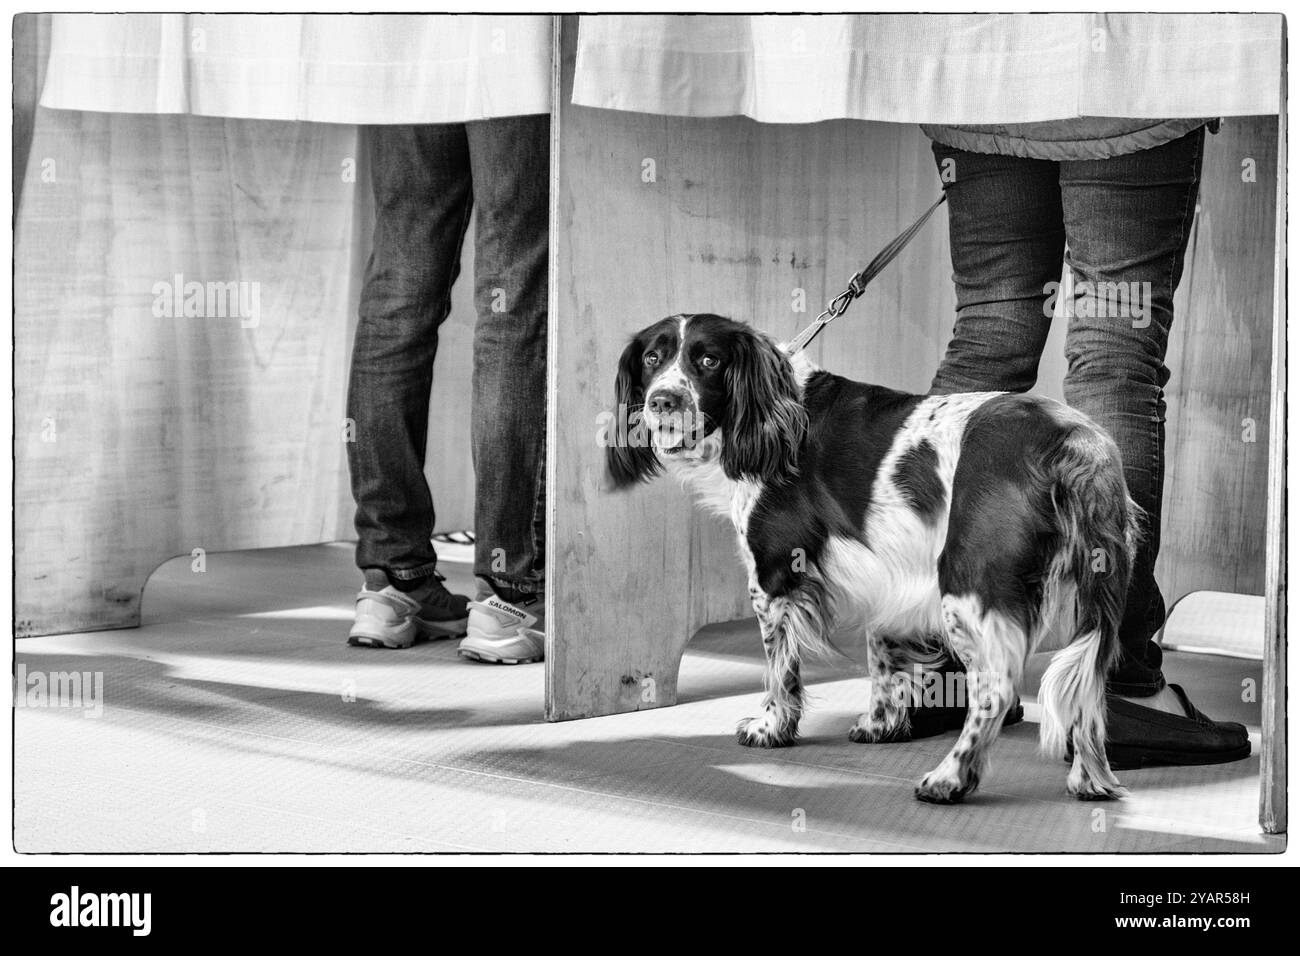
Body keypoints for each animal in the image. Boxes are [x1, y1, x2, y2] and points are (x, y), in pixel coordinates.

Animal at [603, 312, 1133, 801]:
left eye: (709, 360)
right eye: (653, 358)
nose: (662, 402)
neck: (774, 410)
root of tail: (1074, 439)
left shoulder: (775, 576)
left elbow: (780, 669)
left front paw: (771, 729)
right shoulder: (889, 575)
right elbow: (882, 653)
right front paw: (881, 724)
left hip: (969, 584)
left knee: (996, 691)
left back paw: (950, 778)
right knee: (1090, 685)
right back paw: (1089, 779)